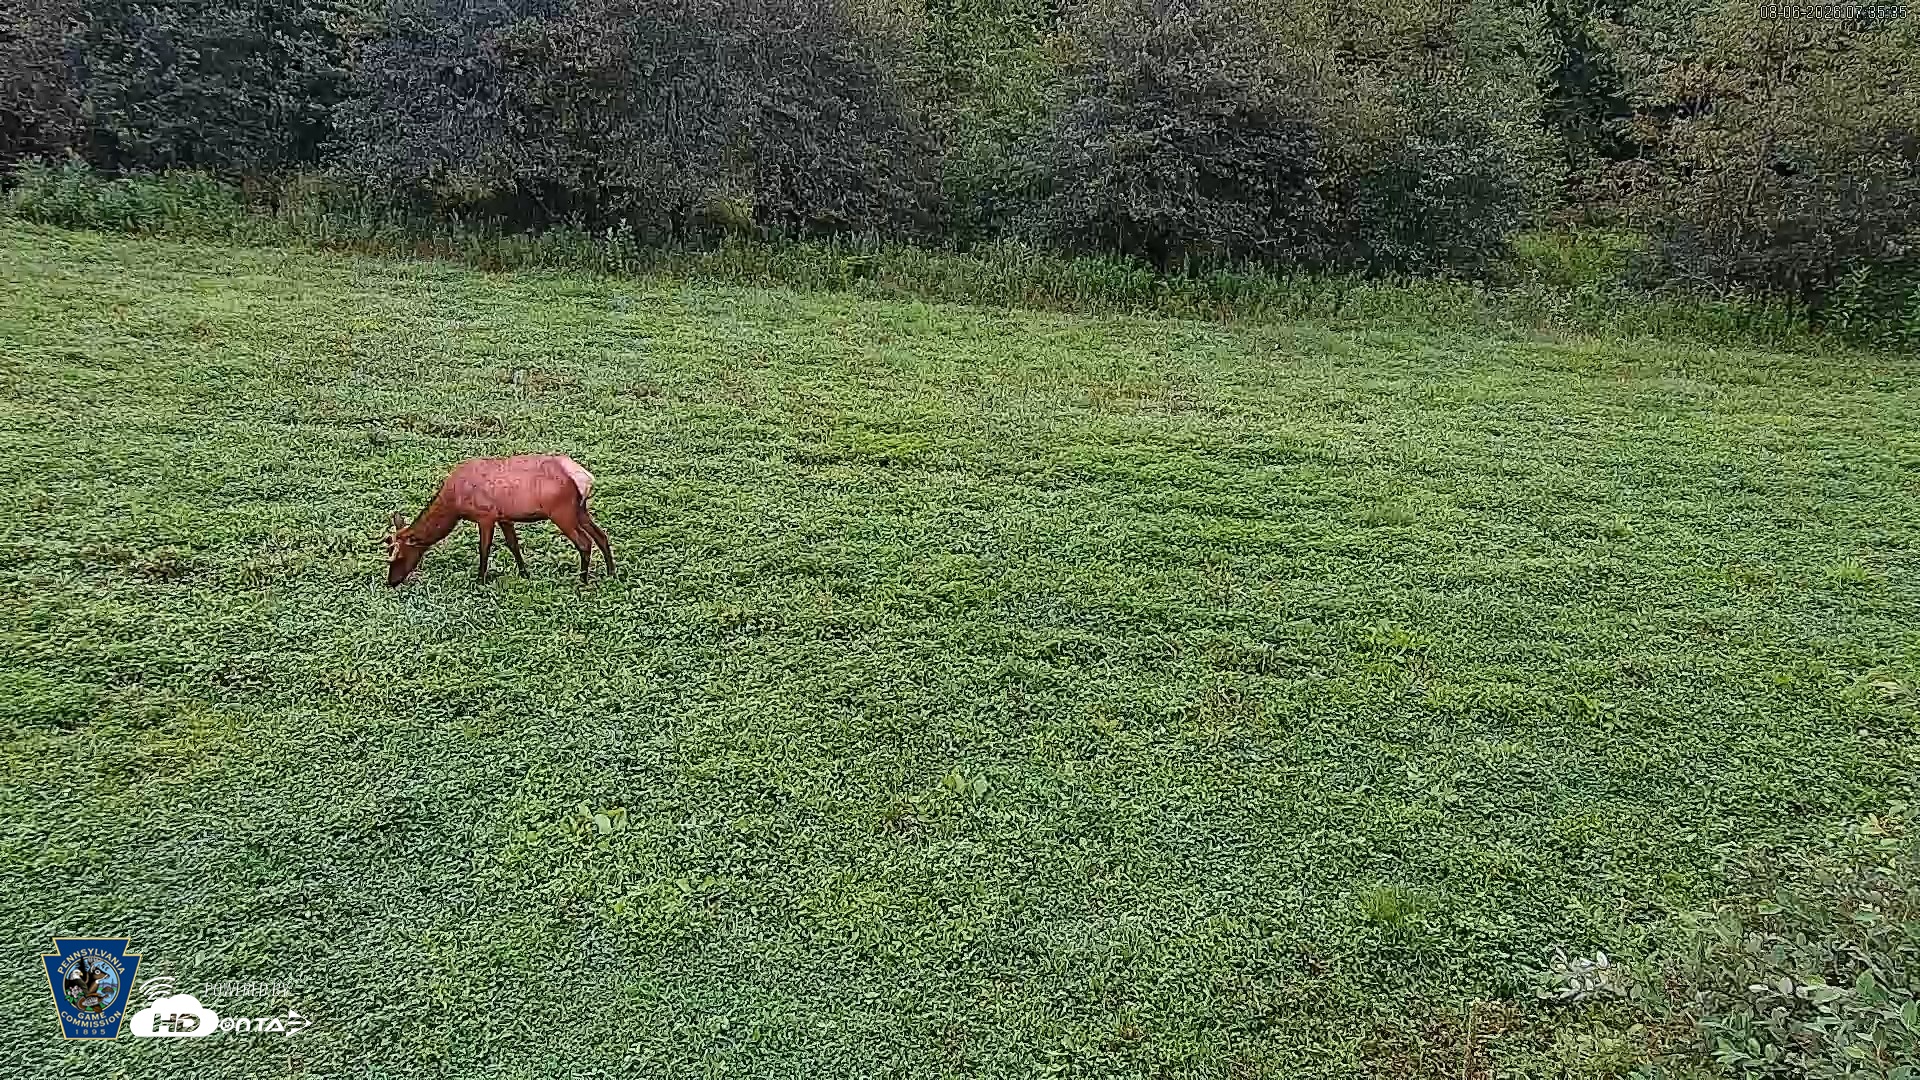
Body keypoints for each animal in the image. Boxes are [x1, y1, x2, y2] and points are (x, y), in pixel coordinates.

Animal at [383, 455, 613, 587]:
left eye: (399, 557)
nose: (391, 582)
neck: (455, 505)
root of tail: (584, 478)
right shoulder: (505, 517)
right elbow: (513, 545)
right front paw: (524, 573)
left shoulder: (486, 516)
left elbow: (484, 548)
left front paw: (480, 581)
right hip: (580, 510)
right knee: (602, 536)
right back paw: (611, 572)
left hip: (561, 511)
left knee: (585, 542)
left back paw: (582, 580)